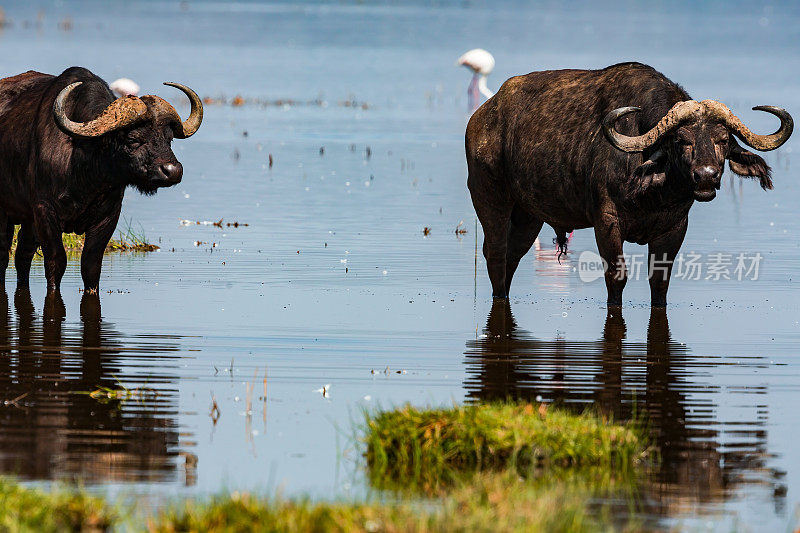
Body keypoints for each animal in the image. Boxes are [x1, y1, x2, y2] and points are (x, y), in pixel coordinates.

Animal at [0, 66, 203, 294]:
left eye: (169, 139)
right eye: (133, 139)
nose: (172, 171)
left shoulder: (108, 216)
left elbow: (91, 264)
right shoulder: (45, 211)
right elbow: (56, 261)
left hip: (27, 219)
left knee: (22, 256)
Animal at [466, 61, 792, 308]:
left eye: (723, 140)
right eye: (681, 141)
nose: (706, 175)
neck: (653, 194)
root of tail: (482, 117)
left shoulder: (674, 227)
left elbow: (660, 282)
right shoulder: (606, 222)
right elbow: (616, 276)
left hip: (528, 215)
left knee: (512, 255)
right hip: (490, 199)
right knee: (495, 253)